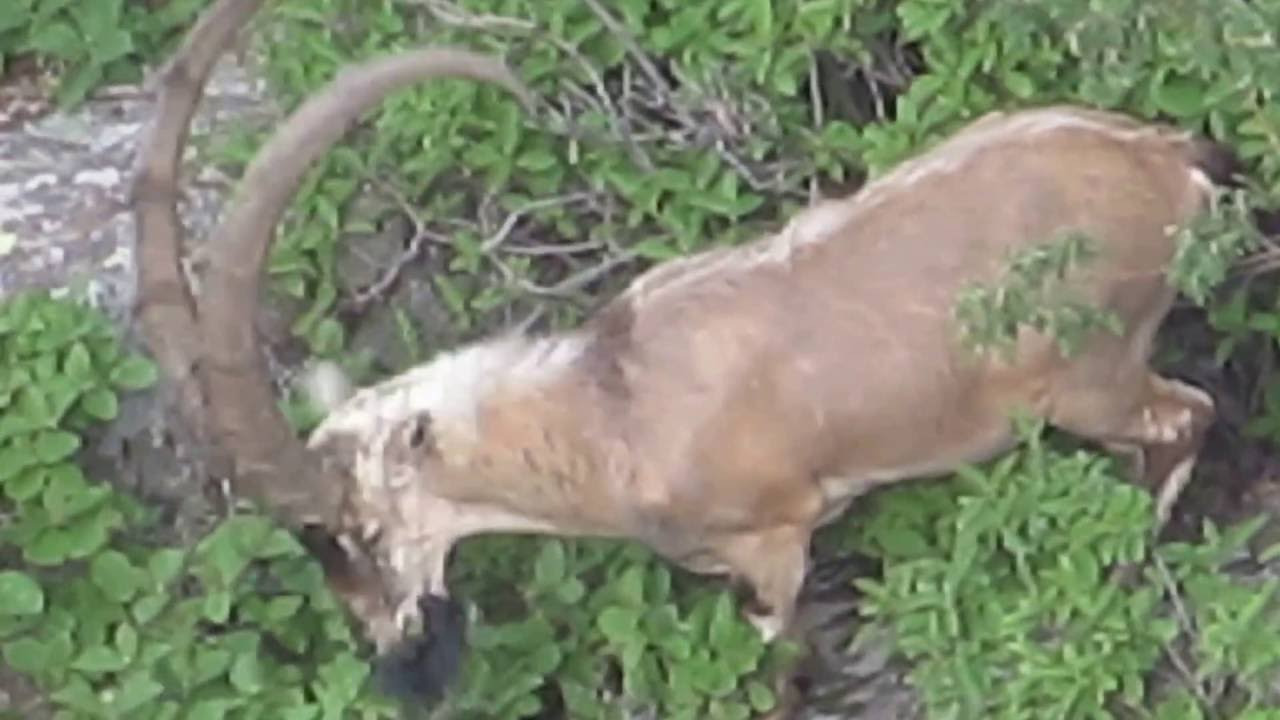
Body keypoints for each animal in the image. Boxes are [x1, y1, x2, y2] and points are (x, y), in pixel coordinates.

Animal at [133, 0, 1246, 710]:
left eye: (357, 530)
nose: (402, 670)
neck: (607, 413)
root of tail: (1168, 164)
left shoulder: (772, 543)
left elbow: (778, 667)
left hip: (1088, 378)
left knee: (1182, 420)